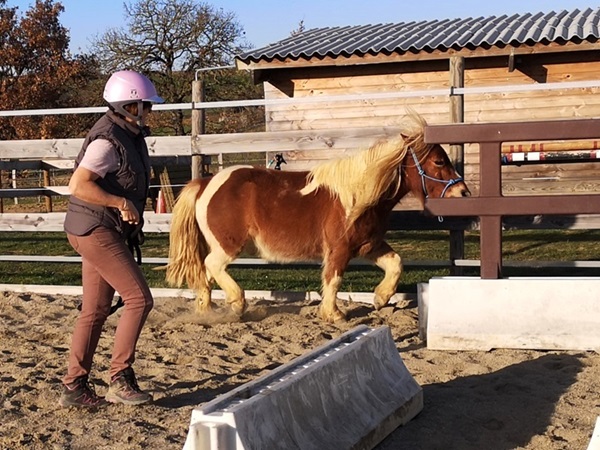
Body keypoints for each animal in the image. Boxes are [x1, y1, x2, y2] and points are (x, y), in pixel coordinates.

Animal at [166, 114, 472, 322]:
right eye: (439, 161)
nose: (463, 192)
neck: (358, 195)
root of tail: (205, 183)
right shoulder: (339, 249)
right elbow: (333, 280)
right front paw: (333, 314)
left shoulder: (369, 245)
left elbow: (396, 264)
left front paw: (380, 298)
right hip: (228, 245)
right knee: (211, 266)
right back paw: (236, 303)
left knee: (204, 275)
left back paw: (206, 313)